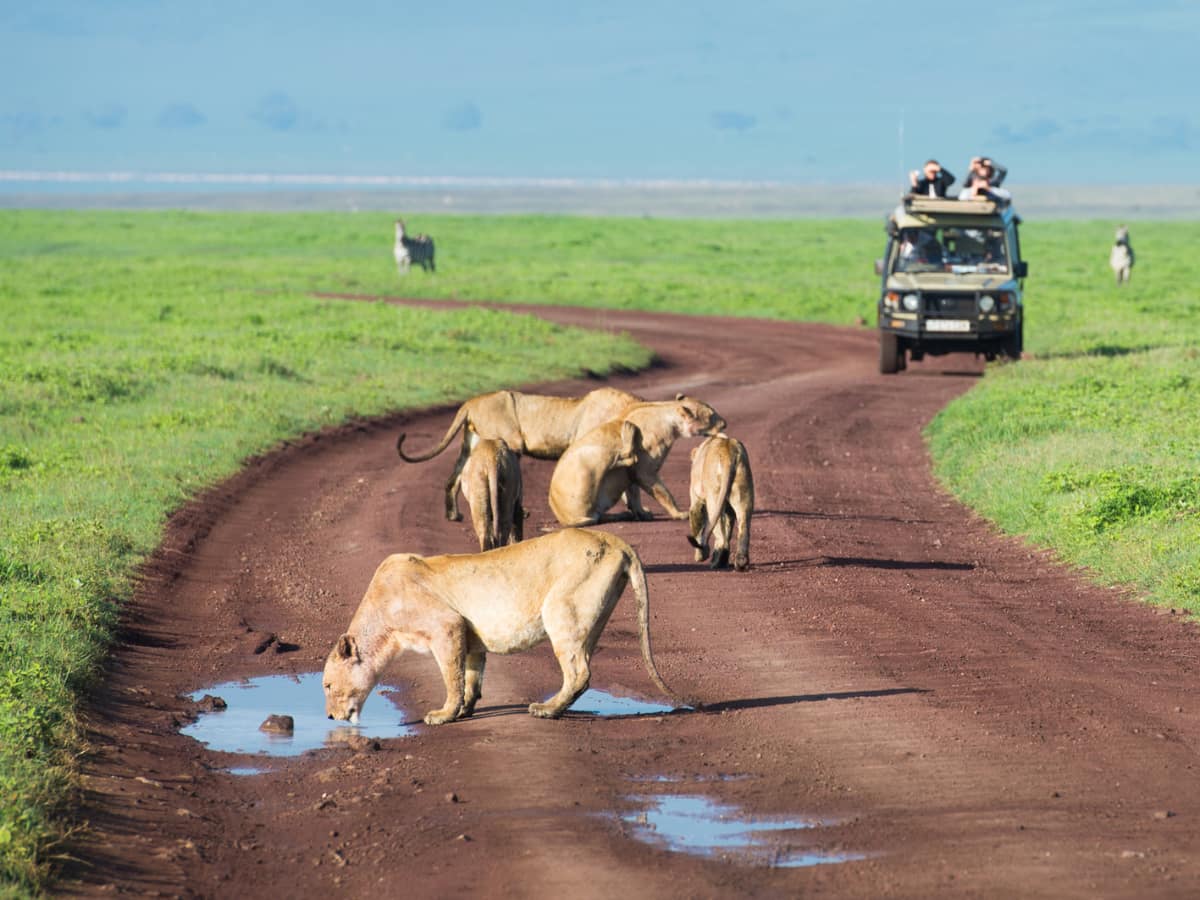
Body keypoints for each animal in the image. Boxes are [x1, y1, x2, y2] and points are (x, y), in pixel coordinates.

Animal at [324, 528, 686, 724]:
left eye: (327, 686)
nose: (328, 716)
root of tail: (614, 539)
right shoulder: (468, 635)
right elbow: (470, 677)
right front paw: (465, 710)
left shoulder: (446, 626)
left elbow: (451, 677)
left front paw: (443, 714)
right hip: (593, 617)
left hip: (560, 609)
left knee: (579, 672)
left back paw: (546, 710)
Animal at [396, 386, 643, 520]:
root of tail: (470, 402)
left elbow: (632, 484)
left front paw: (640, 510)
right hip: (509, 441)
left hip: (471, 442)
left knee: (453, 478)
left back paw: (453, 515)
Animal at [549, 396, 724, 528]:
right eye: (711, 415)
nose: (725, 423)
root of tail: (563, 518)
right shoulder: (644, 471)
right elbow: (663, 493)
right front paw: (679, 514)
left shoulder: (632, 476)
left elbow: (634, 494)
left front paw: (641, 513)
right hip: (592, 453)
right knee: (623, 457)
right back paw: (628, 432)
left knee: (599, 517)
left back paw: (622, 514)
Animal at [686, 434, 748, 571]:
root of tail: (728, 452)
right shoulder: (728, 508)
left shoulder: (696, 499)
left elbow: (697, 524)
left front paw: (700, 555)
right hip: (742, 487)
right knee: (743, 523)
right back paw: (740, 562)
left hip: (713, 494)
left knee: (719, 532)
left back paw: (717, 562)